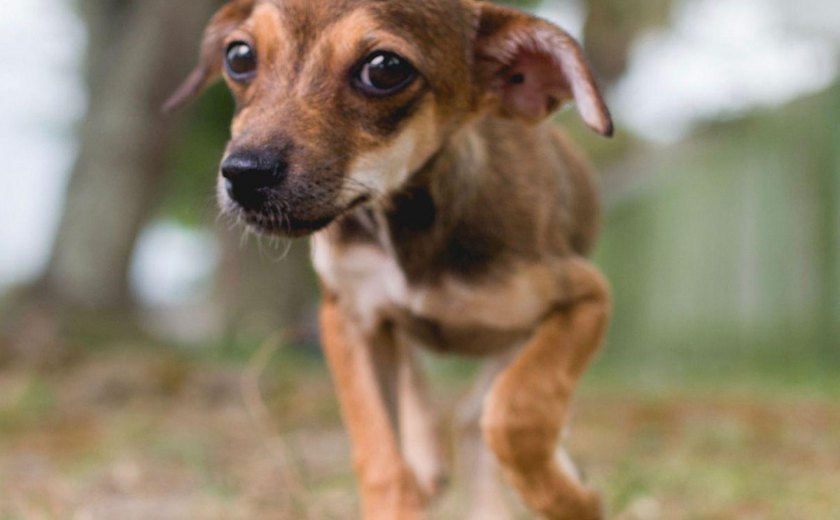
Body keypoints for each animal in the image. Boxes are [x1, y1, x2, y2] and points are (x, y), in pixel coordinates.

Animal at [166, 2, 612, 516]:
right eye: (239, 56)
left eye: (385, 68)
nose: (244, 173)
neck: (407, 226)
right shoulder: (348, 317)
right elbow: (380, 456)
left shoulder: (585, 298)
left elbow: (518, 412)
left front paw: (570, 499)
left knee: (476, 416)